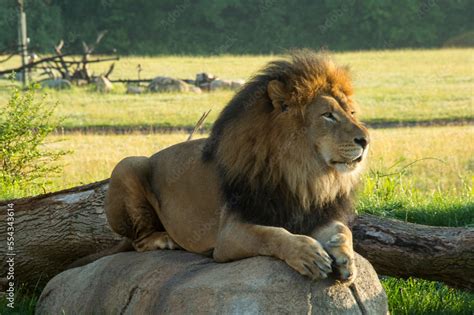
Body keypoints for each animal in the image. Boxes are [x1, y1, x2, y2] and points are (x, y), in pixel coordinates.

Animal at [103, 51, 370, 284]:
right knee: (137, 241)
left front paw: (346, 260)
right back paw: (164, 240)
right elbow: (272, 234)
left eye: (351, 112)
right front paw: (308, 254)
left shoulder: (314, 214)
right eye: (328, 115)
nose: (366, 140)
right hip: (127, 165)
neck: (303, 174)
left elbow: (342, 230)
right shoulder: (229, 234)